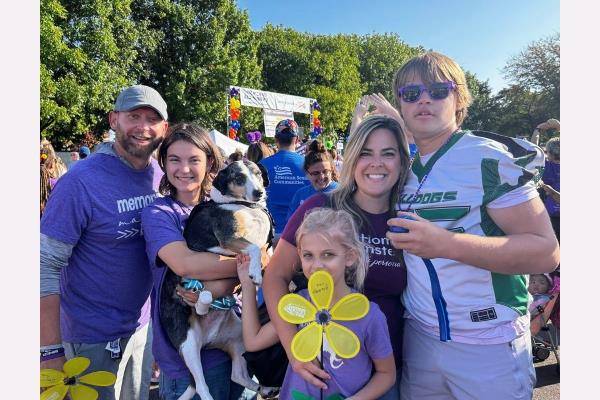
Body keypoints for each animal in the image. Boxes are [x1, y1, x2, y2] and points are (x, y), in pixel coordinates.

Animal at [162, 159, 278, 400]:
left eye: (257, 173)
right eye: (238, 178)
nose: (259, 192)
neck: (245, 206)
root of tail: (209, 340)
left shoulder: (267, 246)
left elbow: (268, 254)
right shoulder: (229, 237)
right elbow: (254, 248)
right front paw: (255, 272)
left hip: (241, 337)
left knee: (237, 375)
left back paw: (264, 388)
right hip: (188, 345)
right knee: (201, 385)